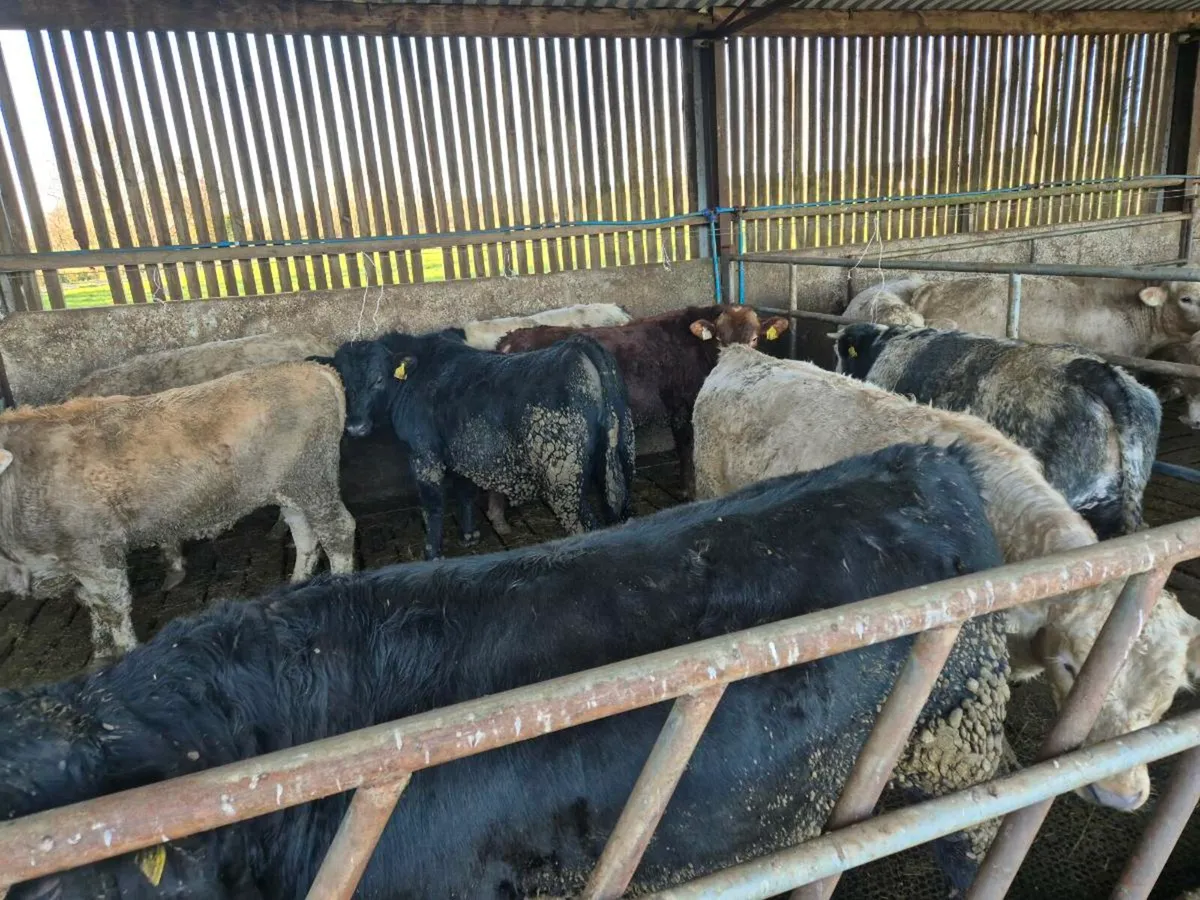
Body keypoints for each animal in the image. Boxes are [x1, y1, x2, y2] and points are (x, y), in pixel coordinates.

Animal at [0, 362, 356, 663]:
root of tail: (314, 369)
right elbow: (91, 604)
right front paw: (100, 654)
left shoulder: (95, 551)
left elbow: (113, 607)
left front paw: (124, 655)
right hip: (290, 488)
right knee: (304, 534)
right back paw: (295, 586)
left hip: (313, 479)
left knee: (338, 531)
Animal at [316, 330, 633, 559]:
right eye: (342, 381)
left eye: (379, 379)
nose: (355, 427)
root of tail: (576, 346)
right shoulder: (462, 451)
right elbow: (465, 490)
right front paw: (469, 536)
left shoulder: (424, 453)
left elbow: (432, 503)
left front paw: (432, 552)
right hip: (619, 460)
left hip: (563, 478)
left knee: (584, 525)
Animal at [497, 304, 790, 506]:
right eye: (720, 339)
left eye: (754, 339)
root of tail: (510, 340)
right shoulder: (682, 405)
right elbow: (686, 446)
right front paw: (689, 488)